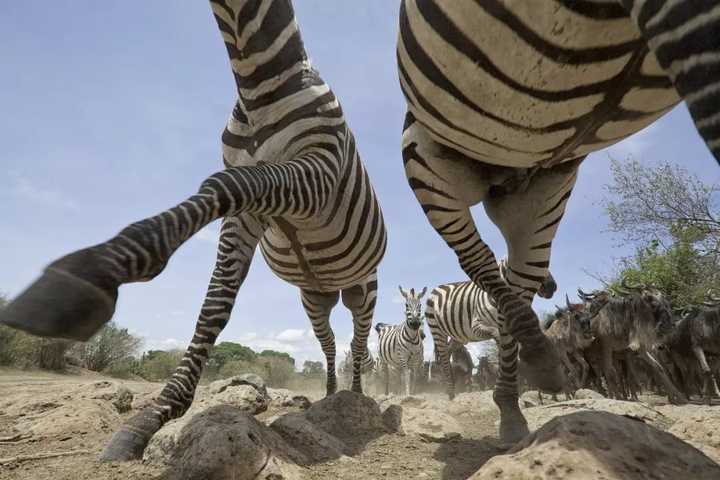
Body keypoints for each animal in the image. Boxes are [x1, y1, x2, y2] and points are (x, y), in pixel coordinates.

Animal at [1, 0, 388, 462]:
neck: (256, 81)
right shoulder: (246, 213)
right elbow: (215, 304)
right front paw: (154, 417)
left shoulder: (320, 170)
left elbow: (227, 183)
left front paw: (90, 272)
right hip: (314, 296)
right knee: (329, 341)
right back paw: (330, 394)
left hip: (364, 287)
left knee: (359, 339)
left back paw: (357, 396)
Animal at [428, 262, 556, 398]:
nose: (552, 286)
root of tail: (438, 287)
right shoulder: (479, 325)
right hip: (437, 330)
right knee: (443, 355)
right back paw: (449, 389)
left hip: (458, 336)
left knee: (448, 352)